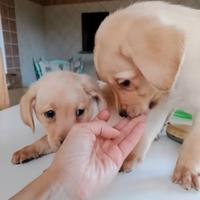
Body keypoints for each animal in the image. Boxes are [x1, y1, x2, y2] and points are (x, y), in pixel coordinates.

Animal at [94, 0, 200, 191]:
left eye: (124, 82)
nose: (122, 114)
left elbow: (194, 142)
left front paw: (186, 169)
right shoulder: (160, 106)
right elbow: (146, 133)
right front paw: (132, 156)